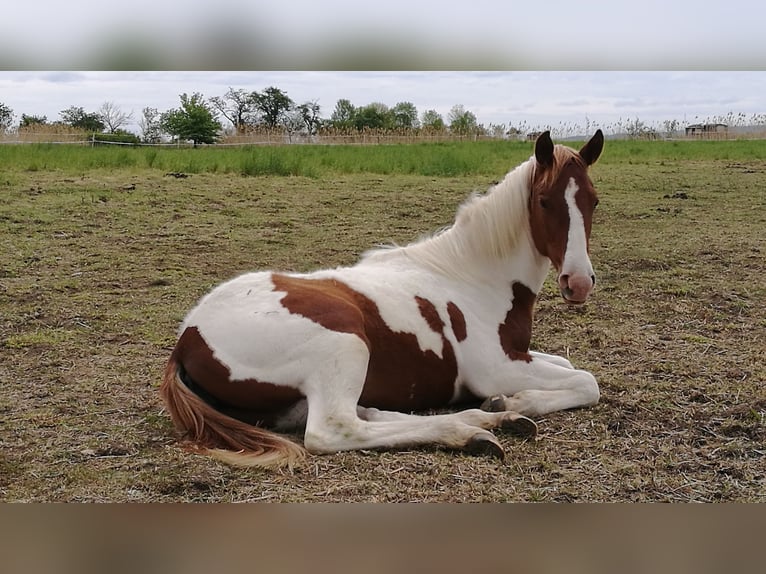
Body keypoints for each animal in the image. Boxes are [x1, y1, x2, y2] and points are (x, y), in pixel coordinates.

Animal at [160, 129, 608, 468]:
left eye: (593, 199)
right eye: (544, 201)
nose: (578, 282)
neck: (474, 279)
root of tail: (187, 340)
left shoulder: (522, 355)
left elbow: (570, 366)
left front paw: (507, 404)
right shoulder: (498, 367)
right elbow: (588, 382)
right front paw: (519, 400)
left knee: (359, 414)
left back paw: (489, 419)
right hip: (345, 344)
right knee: (333, 430)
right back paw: (469, 430)